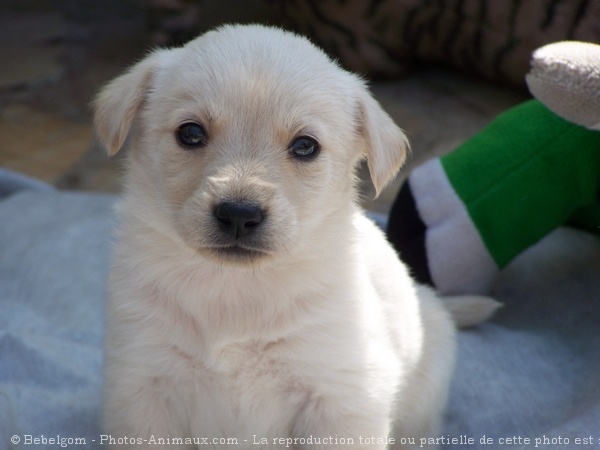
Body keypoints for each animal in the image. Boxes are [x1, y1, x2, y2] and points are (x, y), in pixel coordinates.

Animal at [95, 25, 496, 450]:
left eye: (305, 146)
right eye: (190, 133)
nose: (239, 215)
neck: (235, 289)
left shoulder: (342, 397)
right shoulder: (142, 385)